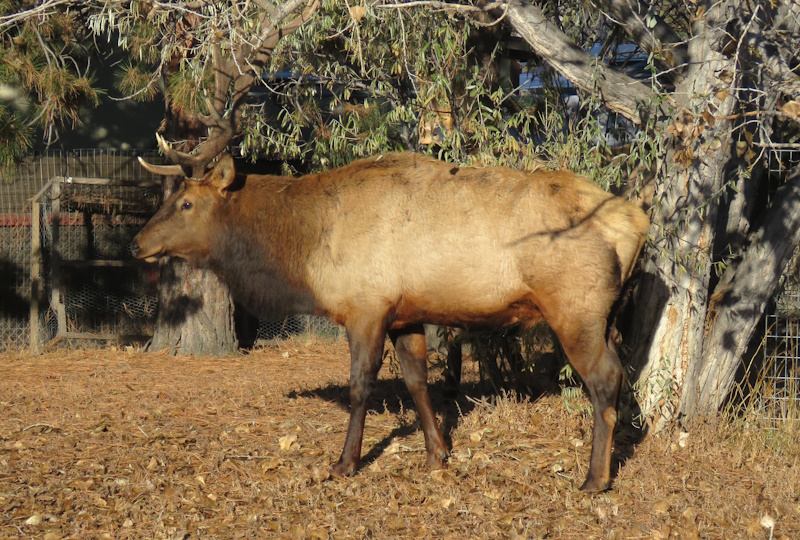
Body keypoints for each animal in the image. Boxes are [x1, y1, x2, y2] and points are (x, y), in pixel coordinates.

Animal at [134, 137, 648, 492]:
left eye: (186, 202)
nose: (137, 242)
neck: (302, 250)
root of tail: (637, 223)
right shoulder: (406, 315)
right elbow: (419, 381)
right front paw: (438, 454)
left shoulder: (367, 307)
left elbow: (360, 386)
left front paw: (344, 463)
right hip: (603, 312)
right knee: (624, 372)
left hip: (575, 307)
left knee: (606, 378)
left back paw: (595, 478)